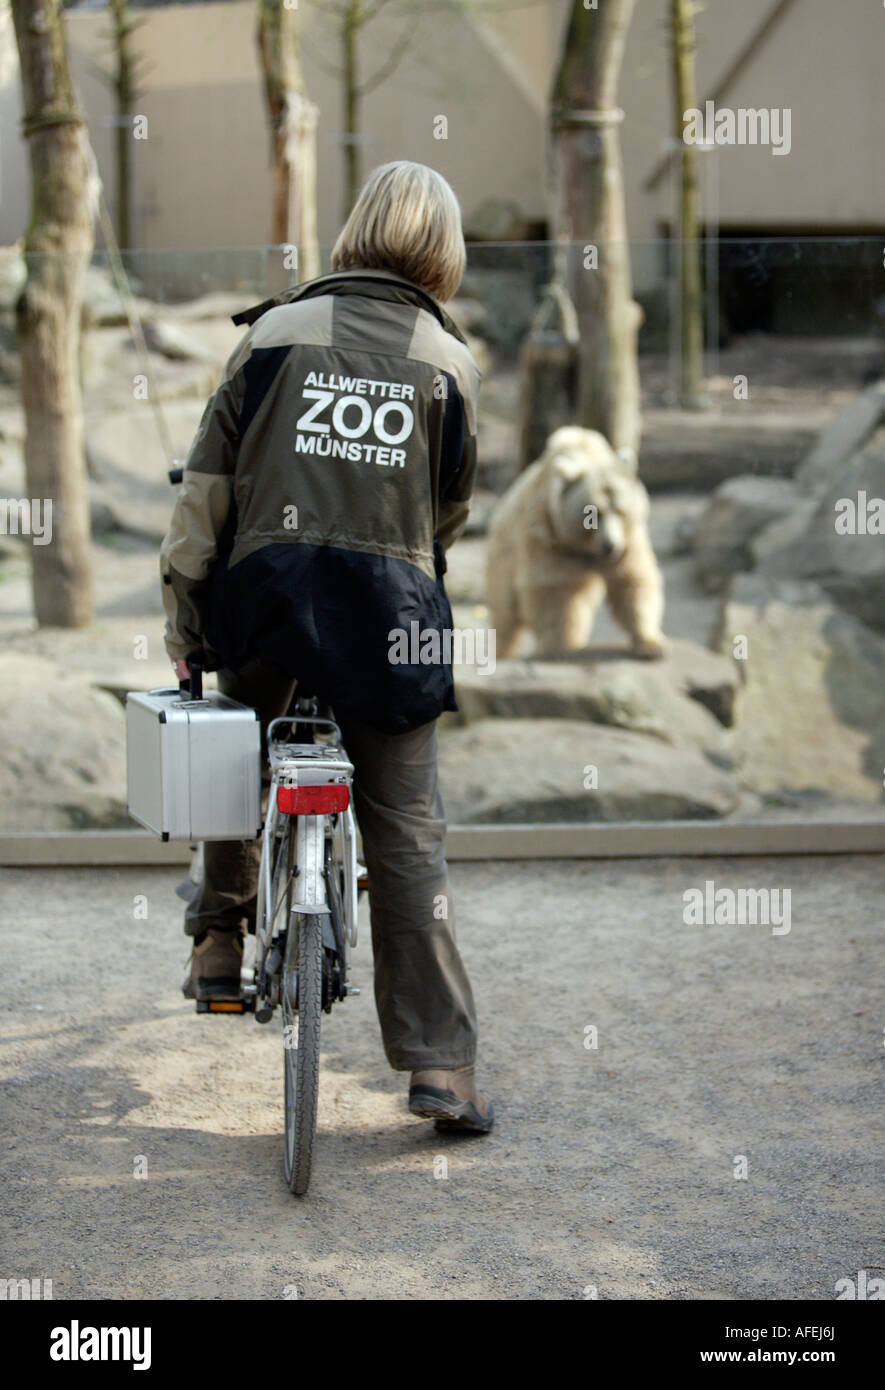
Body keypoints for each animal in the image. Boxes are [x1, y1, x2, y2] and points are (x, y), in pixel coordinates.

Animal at [483, 425, 661, 658]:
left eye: (620, 510)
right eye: (594, 513)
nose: (610, 547)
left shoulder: (628, 540)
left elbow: (631, 580)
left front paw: (650, 644)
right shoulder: (547, 538)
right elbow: (552, 590)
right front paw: (558, 646)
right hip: (504, 557)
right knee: (506, 614)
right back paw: (504, 650)